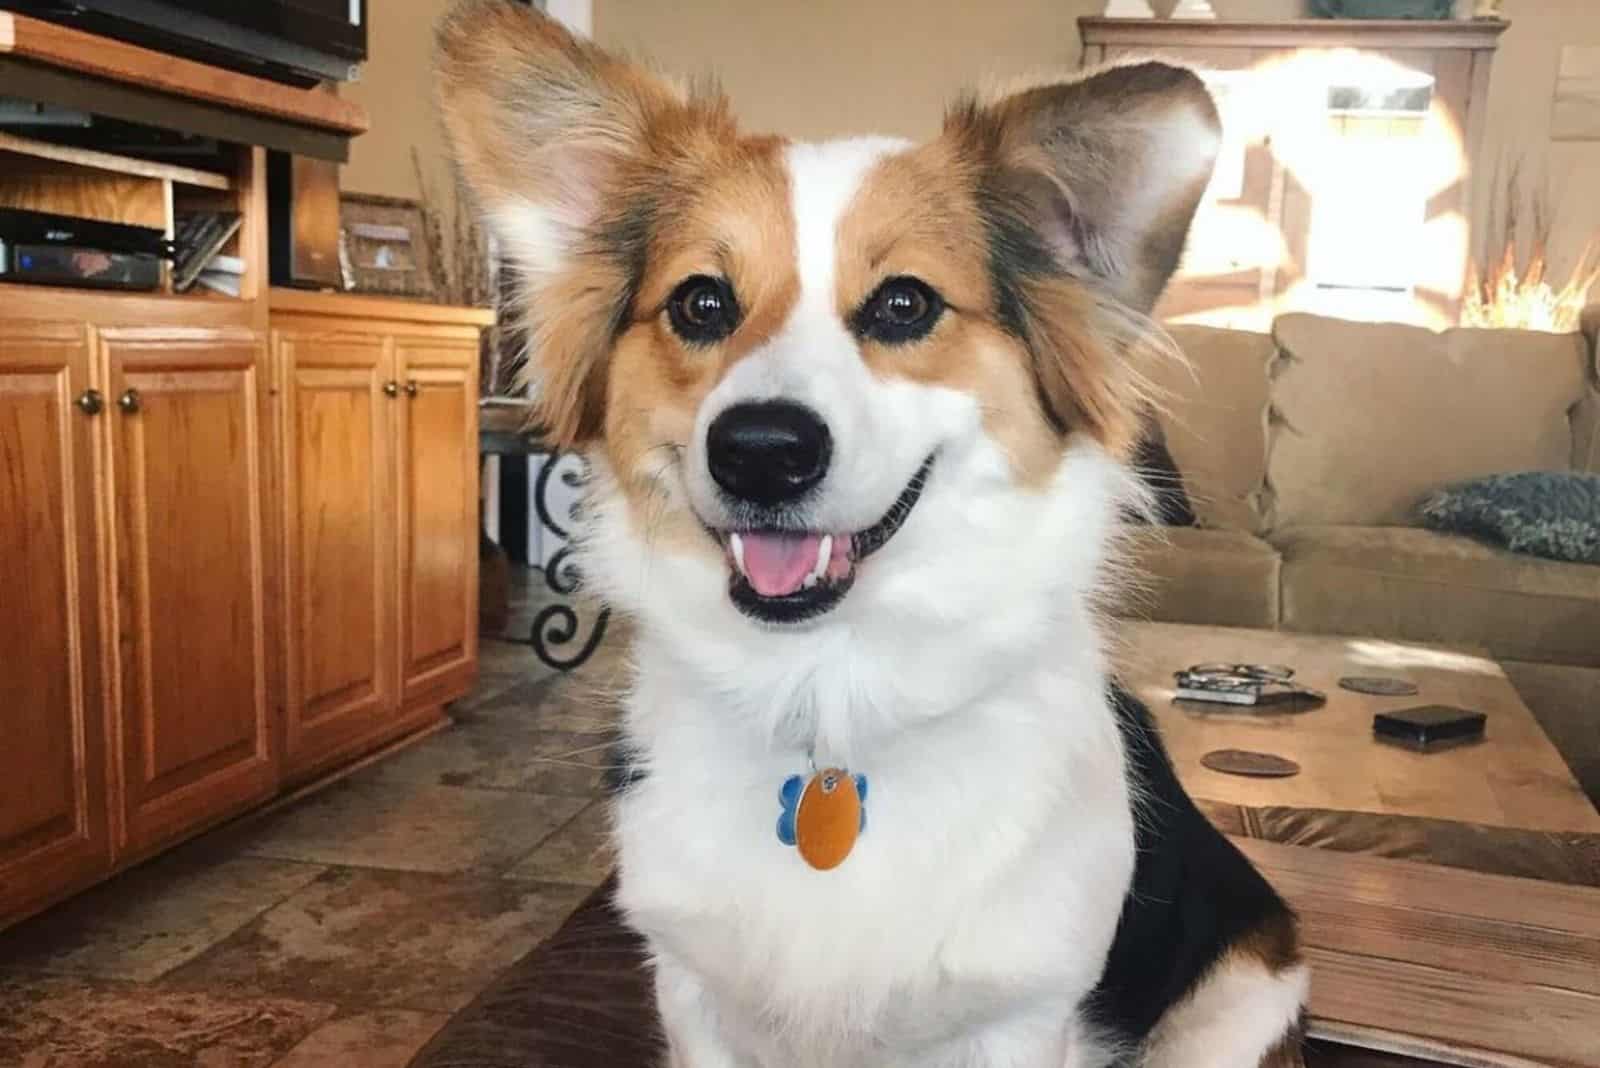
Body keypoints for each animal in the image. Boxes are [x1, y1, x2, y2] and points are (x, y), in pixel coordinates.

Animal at [435, 4, 1299, 1061]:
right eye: (701, 303)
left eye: (904, 303)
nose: (761, 452)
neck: (830, 697)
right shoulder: (692, 996)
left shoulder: (1020, 1018)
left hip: (1235, 1005)